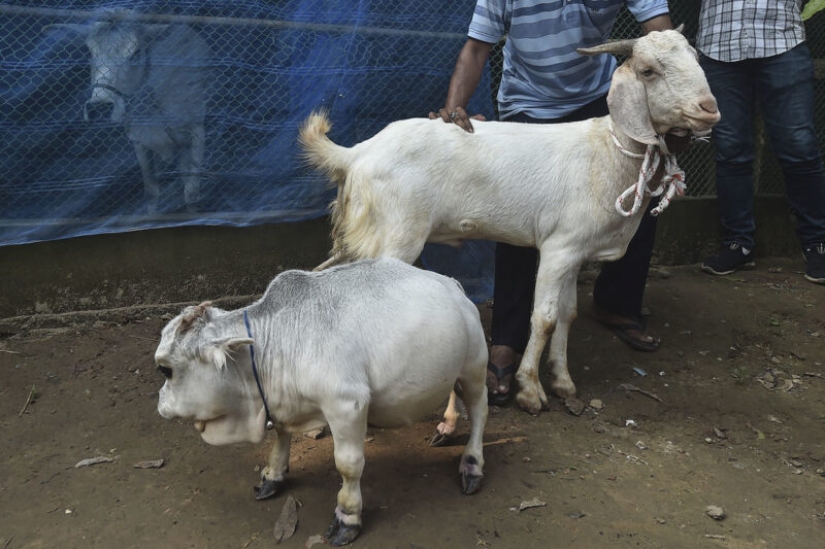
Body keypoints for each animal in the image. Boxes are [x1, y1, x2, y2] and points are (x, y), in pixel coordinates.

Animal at [49, 12, 210, 213]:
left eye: (135, 53)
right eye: (91, 52)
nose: (99, 107)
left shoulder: (196, 131)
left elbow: (191, 192)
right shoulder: (139, 142)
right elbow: (151, 192)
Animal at [155, 257, 489, 546]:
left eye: (165, 369)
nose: (160, 403)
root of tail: (452, 285)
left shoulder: (347, 404)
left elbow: (349, 465)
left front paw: (348, 516)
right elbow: (281, 435)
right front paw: (273, 474)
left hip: (475, 366)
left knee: (479, 410)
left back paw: (471, 464)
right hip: (453, 367)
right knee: (453, 392)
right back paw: (446, 426)